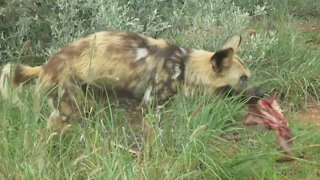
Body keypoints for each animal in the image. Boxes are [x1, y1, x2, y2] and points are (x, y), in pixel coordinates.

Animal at [13, 31, 262, 131]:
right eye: (242, 79)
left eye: (249, 77)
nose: (262, 95)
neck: (185, 67)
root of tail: (46, 64)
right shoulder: (148, 107)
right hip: (70, 108)